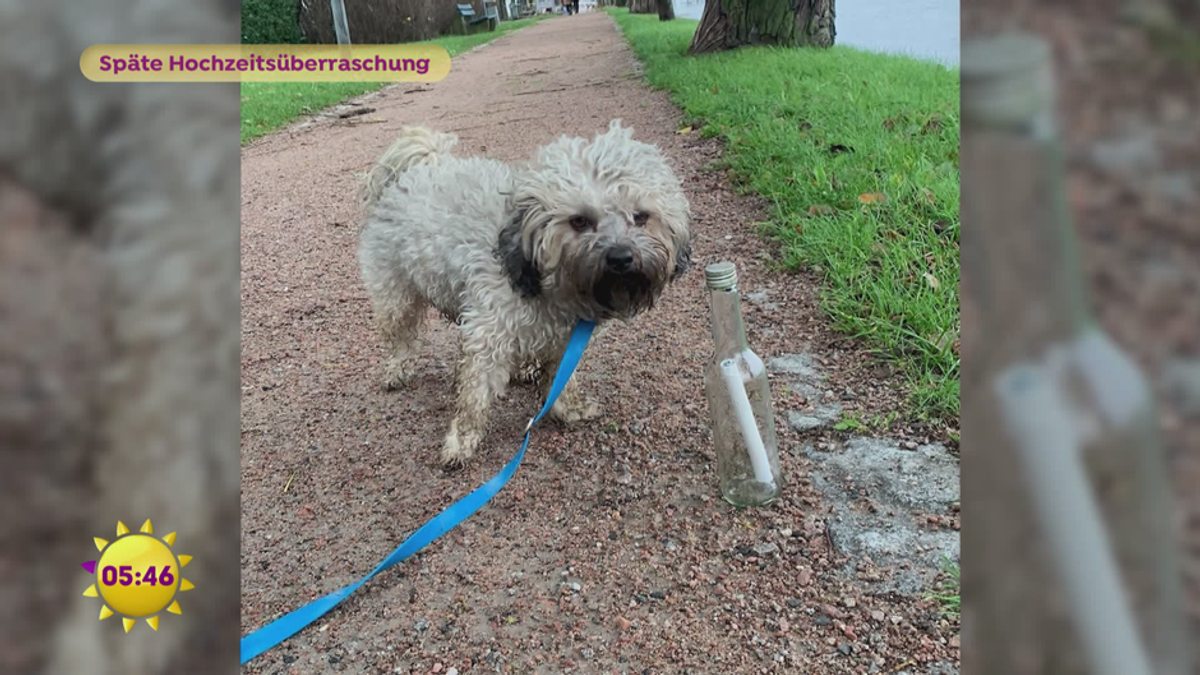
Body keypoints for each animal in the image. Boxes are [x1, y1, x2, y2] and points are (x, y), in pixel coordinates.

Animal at [357, 120, 696, 466]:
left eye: (641, 216)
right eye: (579, 221)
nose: (621, 258)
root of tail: (415, 171)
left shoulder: (564, 340)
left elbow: (561, 380)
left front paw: (568, 408)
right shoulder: (488, 333)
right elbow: (475, 395)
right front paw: (462, 439)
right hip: (395, 295)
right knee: (401, 338)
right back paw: (398, 369)